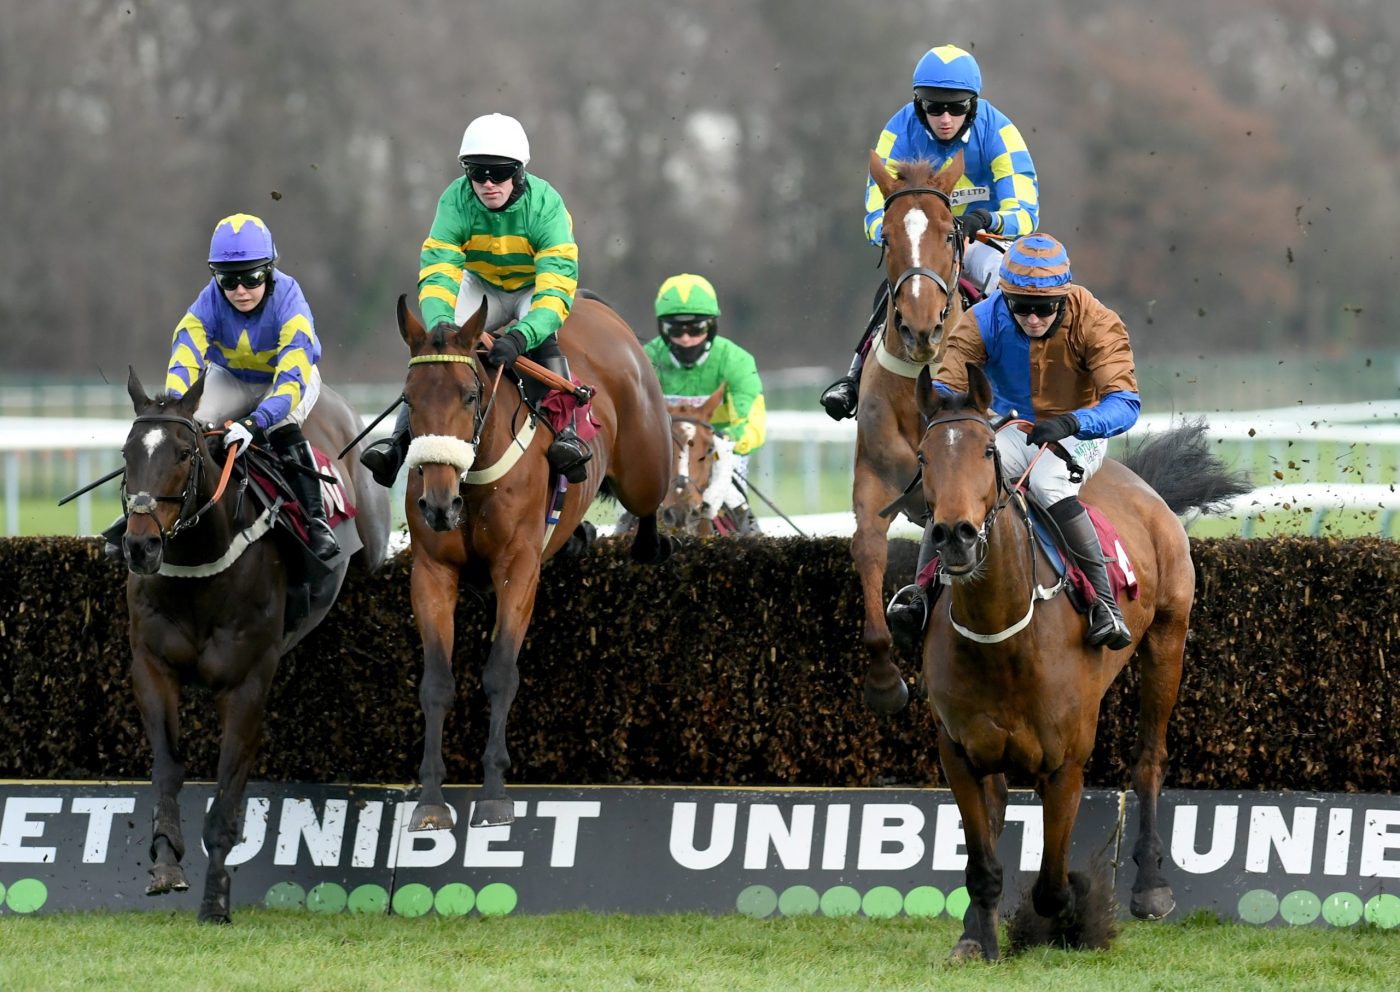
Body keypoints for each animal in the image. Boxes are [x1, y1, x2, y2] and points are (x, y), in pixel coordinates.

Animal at [121, 366, 392, 923]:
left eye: (185, 453)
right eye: (127, 453)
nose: (141, 545)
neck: (201, 574)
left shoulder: (247, 683)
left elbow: (227, 793)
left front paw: (215, 900)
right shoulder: (152, 667)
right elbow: (168, 768)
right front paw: (165, 863)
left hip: (374, 537)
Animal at [397, 292, 674, 828]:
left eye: (469, 395)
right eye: (409, 400)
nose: (438, 505)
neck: (472, 483)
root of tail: (593, 306)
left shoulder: (519, 567)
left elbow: (501, 673)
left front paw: (493, 794)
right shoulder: (432, 573)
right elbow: (436, 683)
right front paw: (431, 800)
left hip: (645, 464)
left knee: (649, 502)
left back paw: (648, 546)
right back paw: (581, 537)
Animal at [918, 366, 1248, 957]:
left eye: (986, 451)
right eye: (923, 456)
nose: (954, 535)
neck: (1000, 637)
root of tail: (1137, 480)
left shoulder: (1066, 760)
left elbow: (1052, 885)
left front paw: (1073, 913)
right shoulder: (958, 751)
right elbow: (982, 859)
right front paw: (976, 937)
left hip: (1169, 638)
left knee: (1149, 760)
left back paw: (1150, 886)